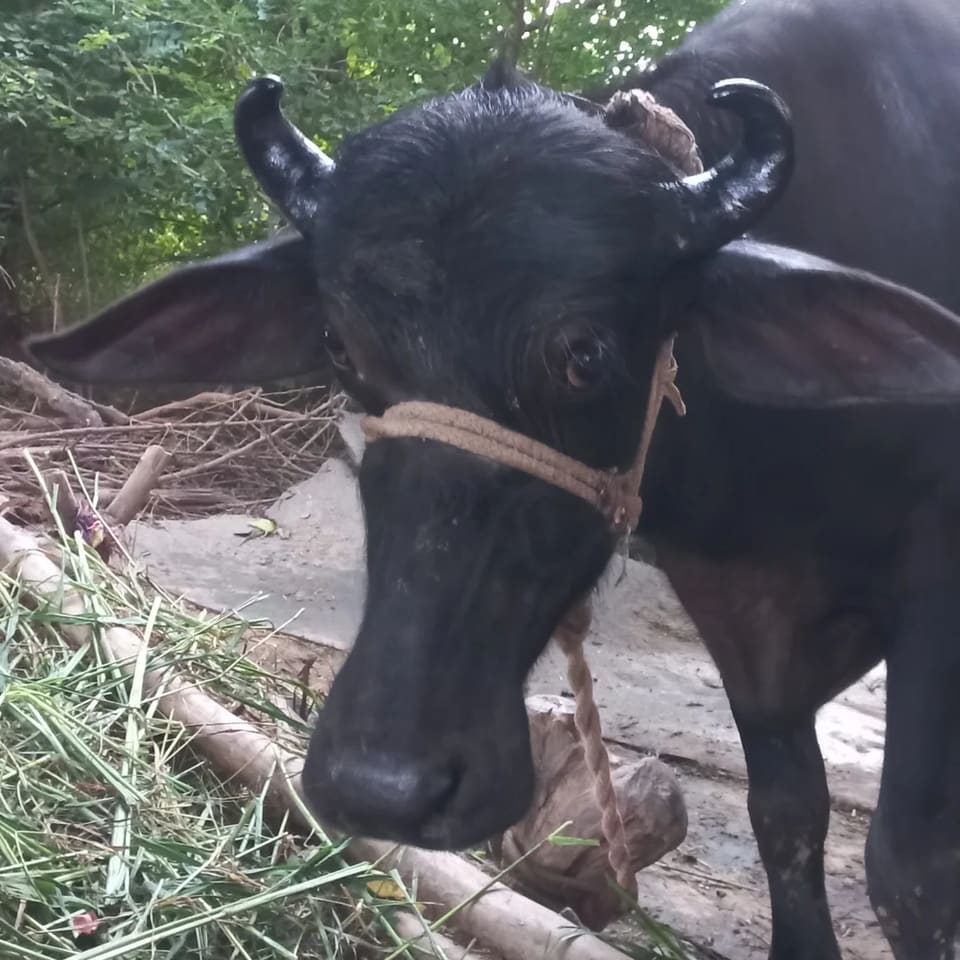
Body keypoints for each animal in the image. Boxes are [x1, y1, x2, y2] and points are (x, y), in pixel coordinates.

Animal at [25, 0, 960, 956]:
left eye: (585, 354)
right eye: (339, 345)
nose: (382, 785)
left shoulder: (937, 571)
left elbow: (908, 867)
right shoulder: (741, 607)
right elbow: (787, 814)